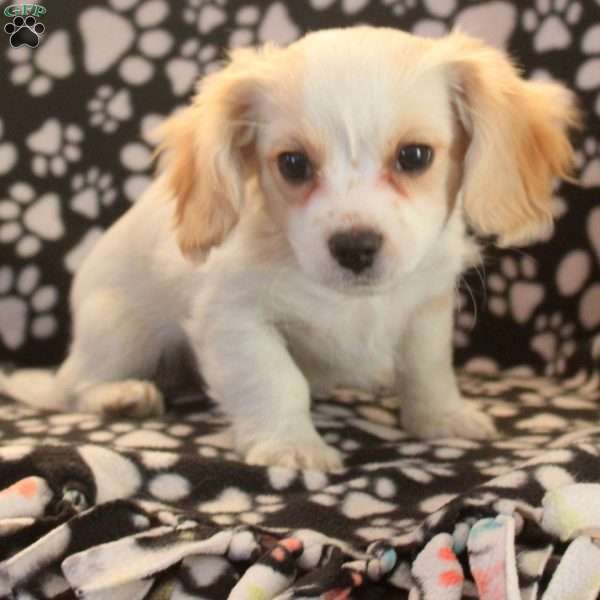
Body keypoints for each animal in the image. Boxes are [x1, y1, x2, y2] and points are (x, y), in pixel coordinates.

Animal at [3, 27, 576, 468]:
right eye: (294, 164)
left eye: (414, 156)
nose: (354, 246)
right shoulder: (234, 319)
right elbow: (276, 380)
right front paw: (292, 447)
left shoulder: (426, 308)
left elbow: (428, 367)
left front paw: (440, 417)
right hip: (120, 331)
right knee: (74, 388)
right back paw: (121, 395)